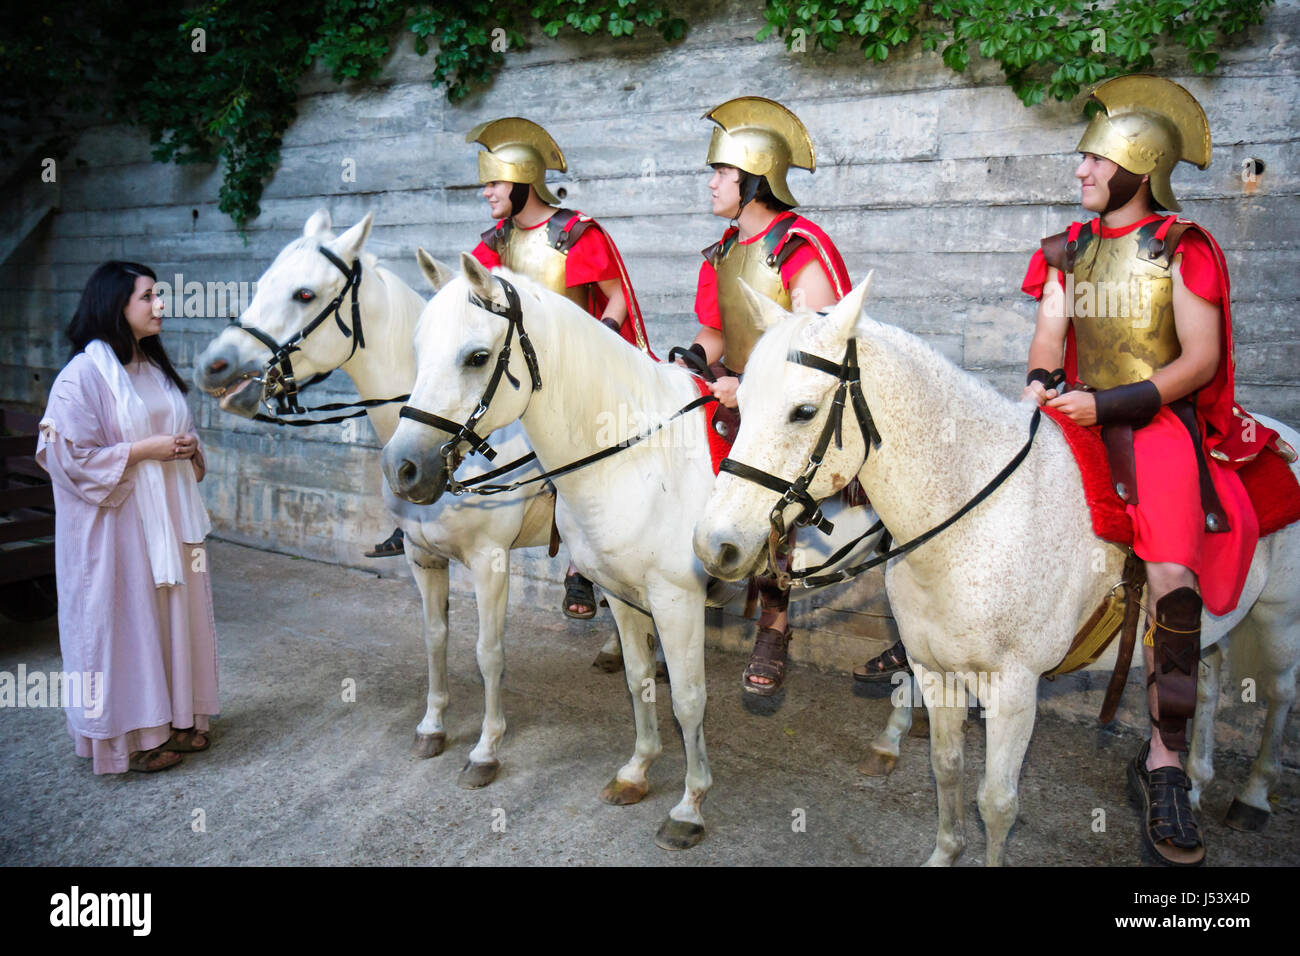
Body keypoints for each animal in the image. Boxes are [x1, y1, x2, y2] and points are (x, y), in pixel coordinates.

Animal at [193, 209, 564, 785]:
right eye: (261, 284)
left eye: (304, 293)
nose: (213, 365)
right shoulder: (421, 556)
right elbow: (435, 637)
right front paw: (432, 726)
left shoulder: (490, 562)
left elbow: (489, 653)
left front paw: (486, 749)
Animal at [379, 251, 883, 848]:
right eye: (417, 349)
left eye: (476, 357)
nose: (403, 468)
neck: (634, 456)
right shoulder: (620, 595)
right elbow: (638, 680)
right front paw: (637, 771)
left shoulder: (675, 601)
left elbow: (688, 700)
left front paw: (689, 806)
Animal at [696, 277, 1300, 868]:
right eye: (740, 405)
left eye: (802, 411)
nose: (713, 544)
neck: (970, 517)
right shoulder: (934, 671)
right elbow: (947, 769)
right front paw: (945, 852)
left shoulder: (1014, 688)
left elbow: (996, 803)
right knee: (1207, 675)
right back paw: (1191, 786)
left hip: (1277, 621)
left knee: (1278, 693)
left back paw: (1248, 797)